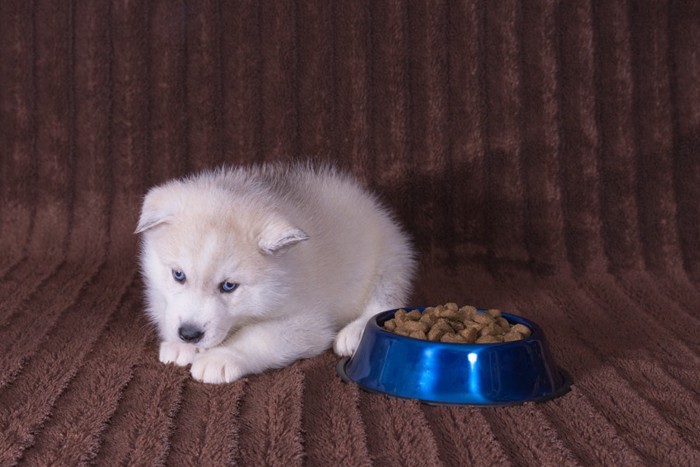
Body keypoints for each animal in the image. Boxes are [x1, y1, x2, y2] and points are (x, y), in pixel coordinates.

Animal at [135, 164, 416, 384]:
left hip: (390, 261)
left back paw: (355, 333)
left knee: (383, 301)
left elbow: (259, 337)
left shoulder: (308, 323)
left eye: (229, 286)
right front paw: (178, 345)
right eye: (178, 275)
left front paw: (222, 356)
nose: (189, 334)